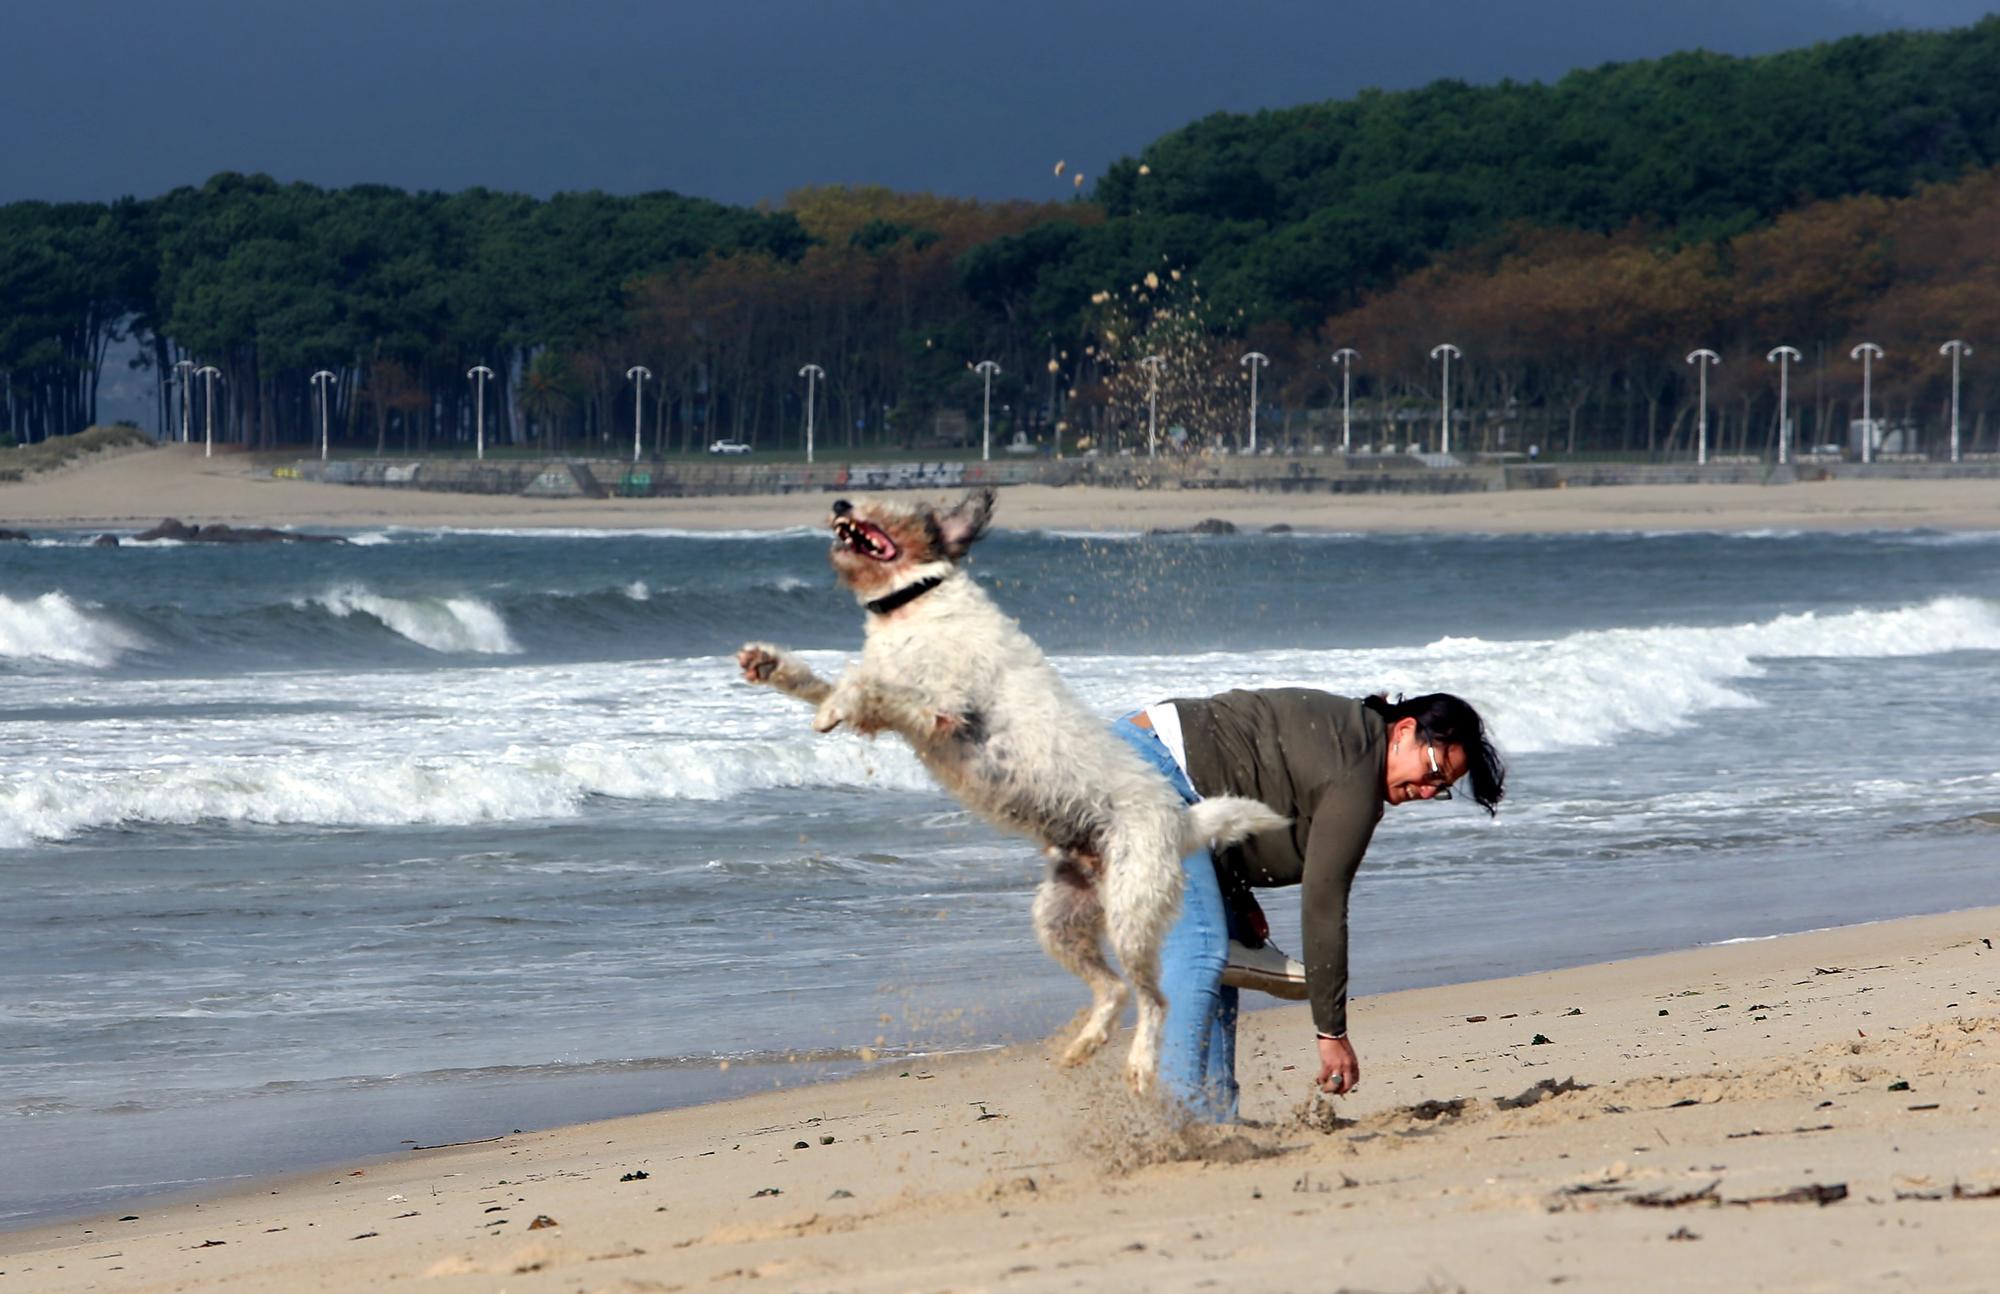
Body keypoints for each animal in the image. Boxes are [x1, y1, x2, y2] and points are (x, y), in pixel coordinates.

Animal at [736, 486, 1280, 1096]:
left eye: (892, 503)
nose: (839, 502)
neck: (916, 600)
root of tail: (1186, 822)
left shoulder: (943, 705)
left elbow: (865, 684)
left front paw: (835, 702)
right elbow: (834, 684)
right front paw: (774, 667)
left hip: (1132, 911)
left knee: (1155, 999)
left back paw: (1140, 1063)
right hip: (1059, 917)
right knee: (1113, 989)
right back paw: (1084, 1043)